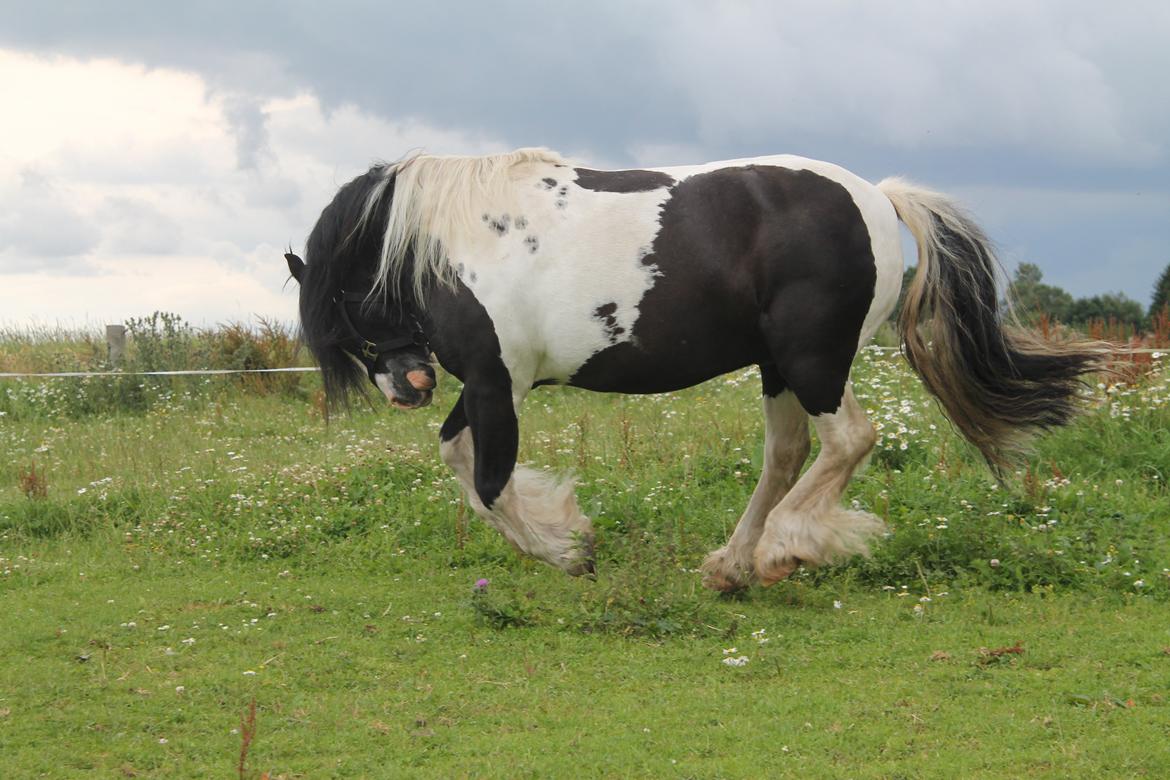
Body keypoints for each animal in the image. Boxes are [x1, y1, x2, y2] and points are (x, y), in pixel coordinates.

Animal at [285, 147, 1104, 591]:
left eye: (344, 307)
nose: (409, 387)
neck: (456, 242)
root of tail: (877, 196)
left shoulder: (495, 383)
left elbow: (486, 482)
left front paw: (568, 551)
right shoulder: (497, 386)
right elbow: (459, 460)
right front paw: (568, 532)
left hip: (813, 361)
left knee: (847, 442)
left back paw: (785, 547)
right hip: (779, 367)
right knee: (787, 455)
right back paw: (733, 565)